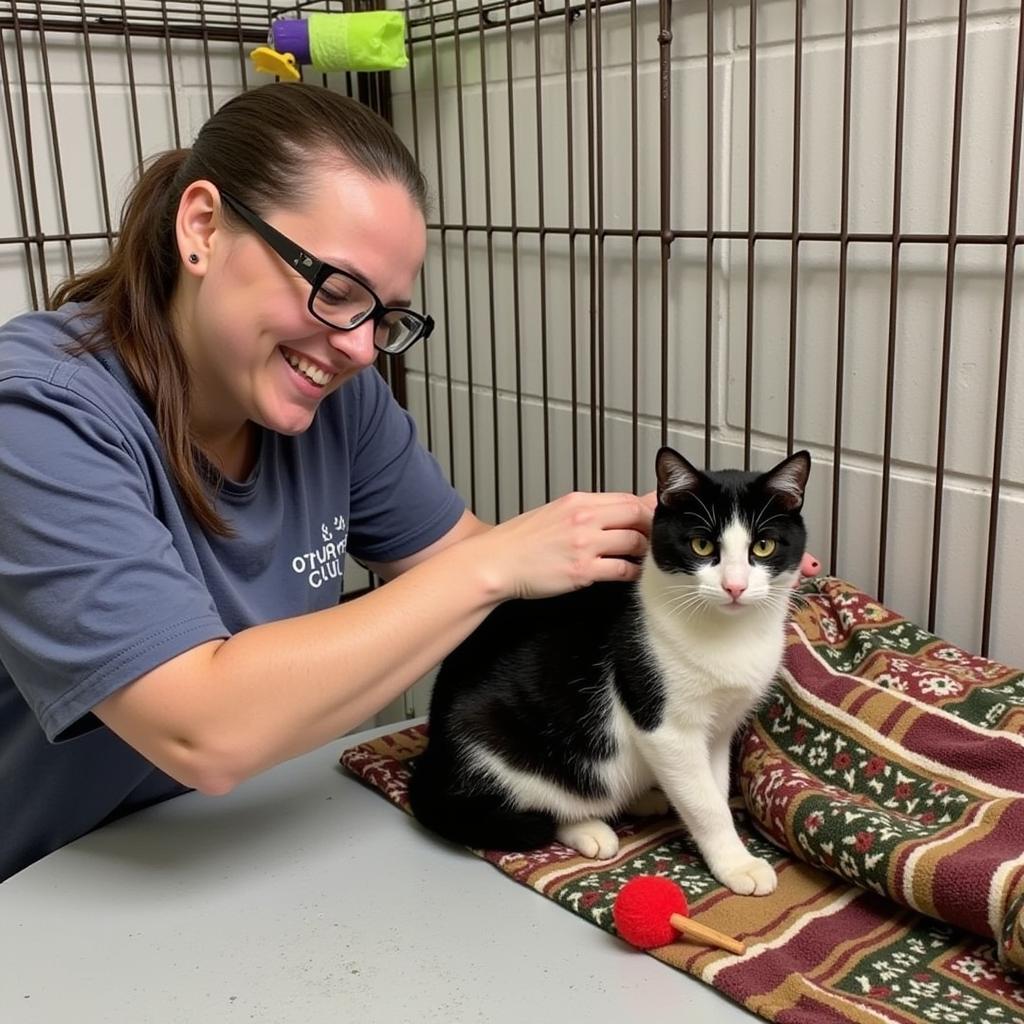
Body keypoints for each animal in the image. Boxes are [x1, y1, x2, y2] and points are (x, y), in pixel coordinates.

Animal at [407, 448, 806, 897]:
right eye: (702, 545)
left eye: (764, 545)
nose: (734, 587)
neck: (731, 635)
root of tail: (435, 753)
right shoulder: (663, 724)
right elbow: (704, 802)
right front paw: (736, 863)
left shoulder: (720, 727)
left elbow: (714, 787)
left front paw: (725, 847)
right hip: (495, 743)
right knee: (543, 801)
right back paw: (589, 827)